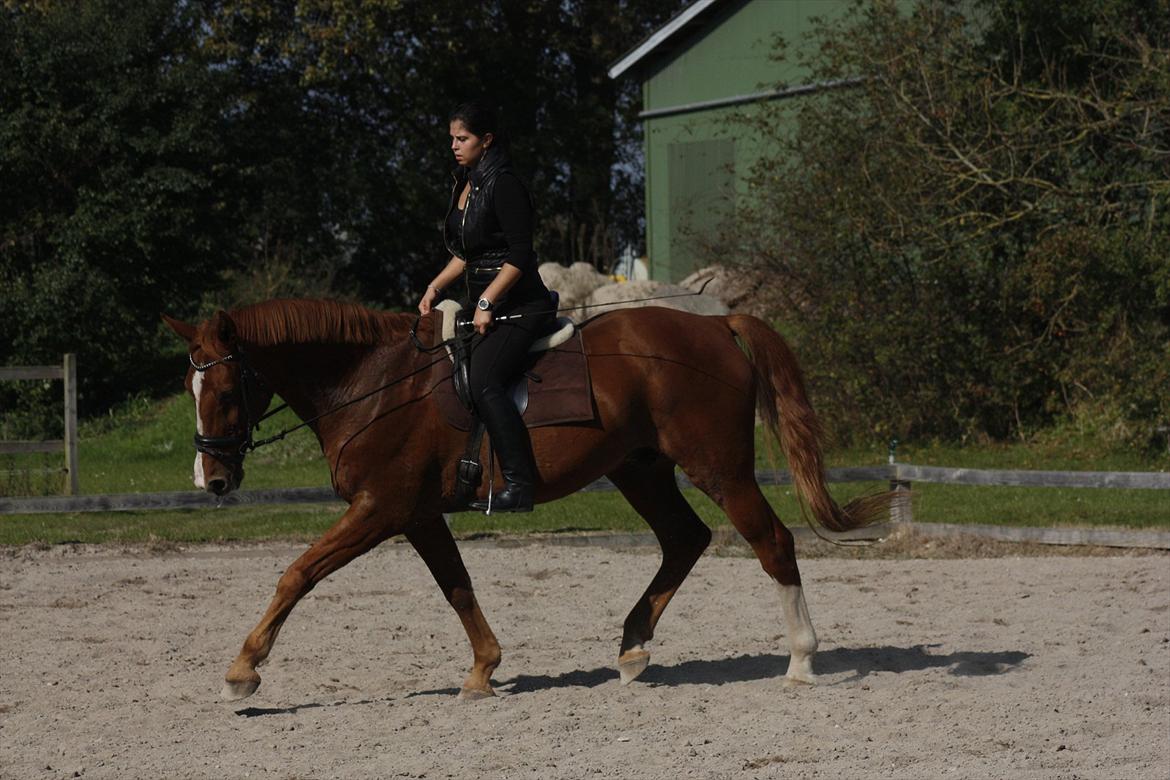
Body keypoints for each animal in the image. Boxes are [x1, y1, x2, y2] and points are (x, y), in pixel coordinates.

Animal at [164, 299, 889, 701]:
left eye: (224, 390)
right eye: (189, 388)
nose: (212, 481)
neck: (373, 383)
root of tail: (713, 326)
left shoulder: (380, 508)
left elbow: (298, 573)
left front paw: (243, 669)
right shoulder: (417, 515)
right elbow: (456, 587)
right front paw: (484, 670)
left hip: (720, 468)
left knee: (772, 542)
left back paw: (801, 659)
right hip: (641, 470)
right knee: (686, 540)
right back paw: (633, 649)